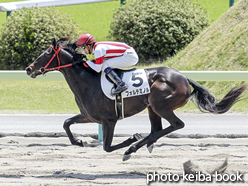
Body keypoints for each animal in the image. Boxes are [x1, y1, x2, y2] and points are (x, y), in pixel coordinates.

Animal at [25, 37, 246, 160]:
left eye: (46, 53)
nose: (28, 69)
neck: (87, 81)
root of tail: (184, 77)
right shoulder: (89, 116)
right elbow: (66, 123)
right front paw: (79, 141)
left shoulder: (109, 120)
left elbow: (107, 147)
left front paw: (131, 138)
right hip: (152, 108)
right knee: (157, 129)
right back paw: (144, 144)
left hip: (160, 104)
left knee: (177, 125)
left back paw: (134, 146)